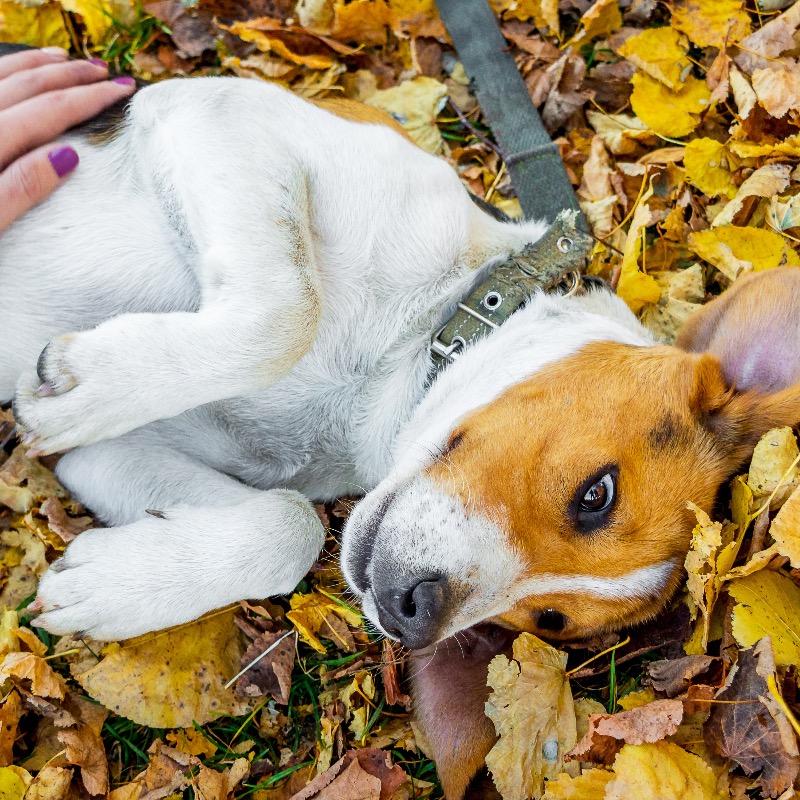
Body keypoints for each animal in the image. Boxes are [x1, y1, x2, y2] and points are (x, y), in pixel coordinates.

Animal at [1, 70, 800, 800]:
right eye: (597, 495)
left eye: (548, 620)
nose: (410, 616)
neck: (403, 354)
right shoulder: (218, 111)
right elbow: (285, 316)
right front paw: (91, 384)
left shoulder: (100, 456)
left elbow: (289, 525)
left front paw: (118, 584)